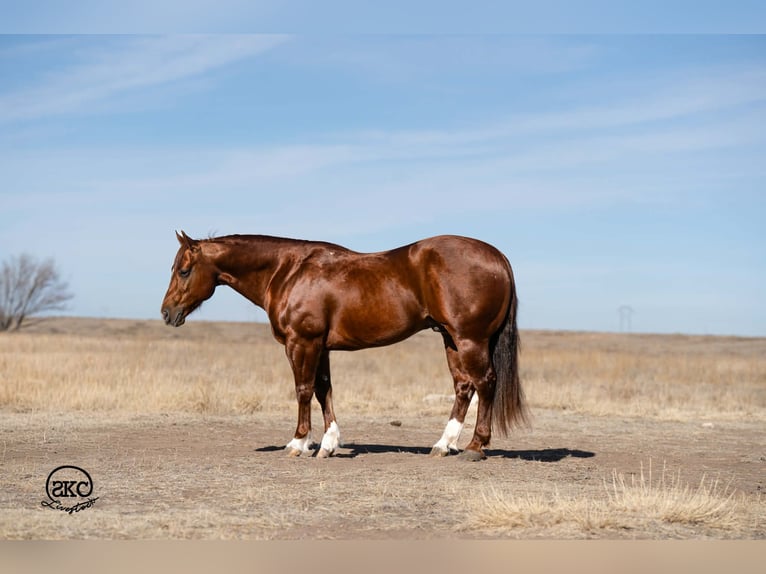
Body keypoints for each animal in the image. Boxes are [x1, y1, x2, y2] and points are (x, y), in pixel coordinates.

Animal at [161, 231, 527, 461]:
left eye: (184, 270)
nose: (167, 312)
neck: (288, 271)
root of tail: (497, 256)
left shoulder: (301, 343)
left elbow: (303, 390)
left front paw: (298, 442)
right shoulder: (321, 347)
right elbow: (324, 390)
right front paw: (328, 444)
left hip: (469, 339)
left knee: (485, 383)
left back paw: (475, 446)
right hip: (451, 339)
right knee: (464, 387)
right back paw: (442, 445)